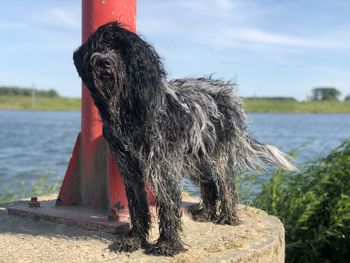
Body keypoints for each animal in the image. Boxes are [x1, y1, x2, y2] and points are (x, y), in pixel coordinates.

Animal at [74, 21, 296, 256]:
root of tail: (228, 92)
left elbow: (168, 205)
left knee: (227, 184)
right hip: (194, 160)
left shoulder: (162, 166)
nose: (103, 62)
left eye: (121, 49)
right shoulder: (129, 168)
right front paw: (134, 239)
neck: (130, 110)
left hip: (219, 155)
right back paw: (207, 213)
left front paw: (167, 244)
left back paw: (227, 216)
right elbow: (137, 207)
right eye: (97, 47)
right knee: (209, 184)